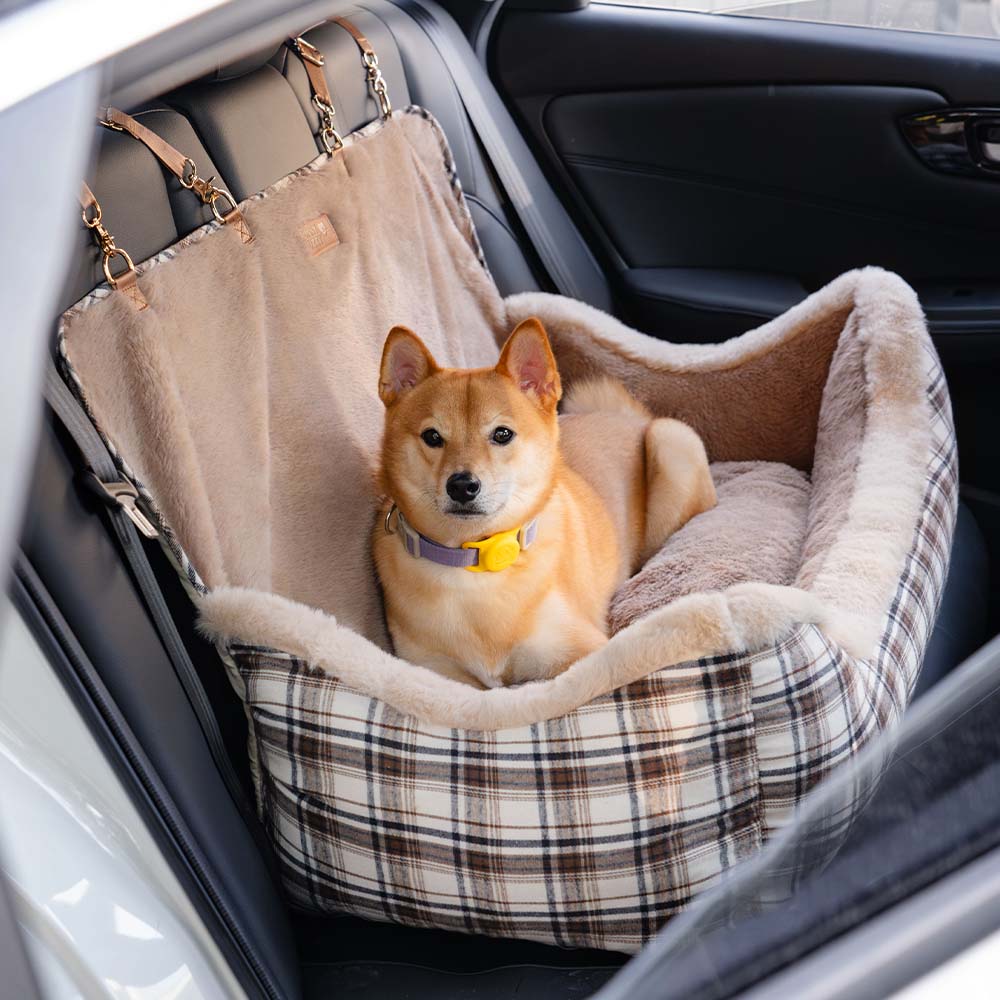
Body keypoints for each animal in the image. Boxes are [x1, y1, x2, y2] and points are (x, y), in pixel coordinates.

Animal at [372, 318, 716, 688]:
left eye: (502, 434)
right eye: (432, 437)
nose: (462, 486)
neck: (473, 566)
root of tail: (631, 418)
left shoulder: (584, 651)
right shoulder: (436, 672)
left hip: (671, 441)